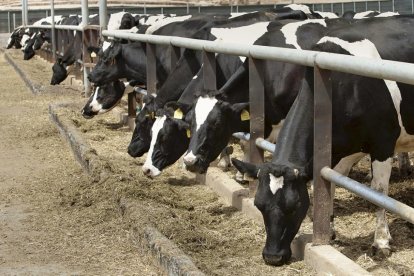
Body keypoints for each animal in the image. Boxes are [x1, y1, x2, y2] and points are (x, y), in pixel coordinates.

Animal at [231, 15, 414, 266]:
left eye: (295, 205)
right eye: (259, 204)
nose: (272, 256)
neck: (345, 85)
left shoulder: (383, 143)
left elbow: (378, 192)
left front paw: (381, 242)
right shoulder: (337, 149)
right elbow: (330, 183)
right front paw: (330, 228)